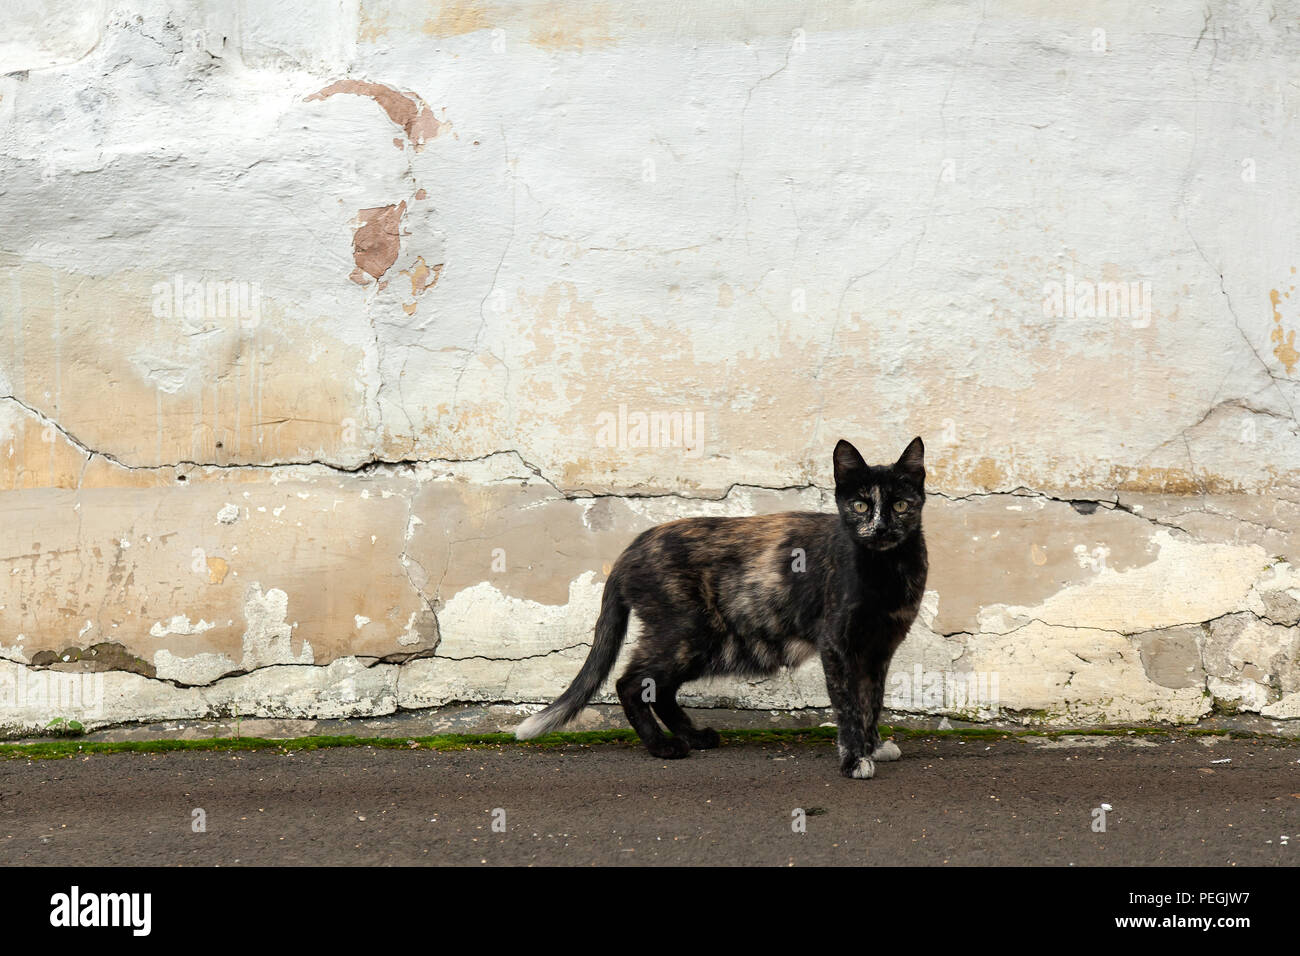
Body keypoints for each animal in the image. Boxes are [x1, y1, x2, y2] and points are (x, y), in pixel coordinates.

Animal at [512, 437, 930, 780]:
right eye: (859, 505)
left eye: (901, 505)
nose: (881, 529)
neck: (886, 568)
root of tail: (631, 550)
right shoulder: (837, 645)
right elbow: (848, 705)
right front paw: (854, 759)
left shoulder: (879, 649)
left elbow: (872, 701)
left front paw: (874, 747)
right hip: (687, 632)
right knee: (630, 683)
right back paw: (663, 746)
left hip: (710, 642)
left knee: (659, 688)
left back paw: (694, 736)